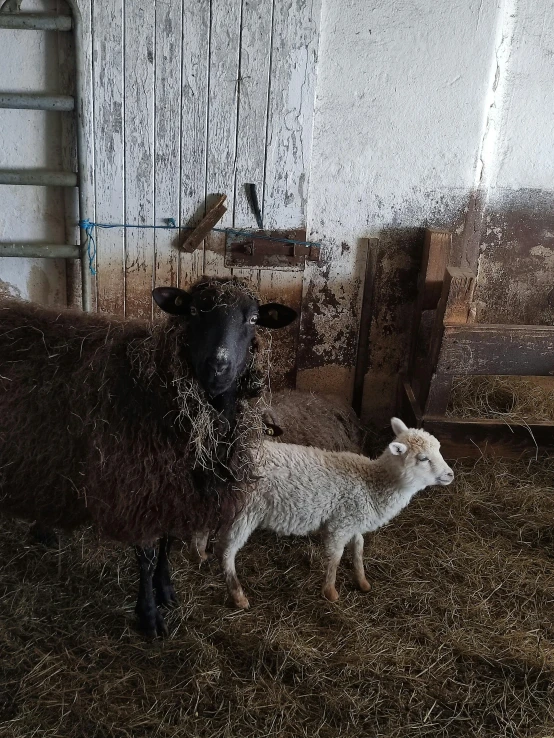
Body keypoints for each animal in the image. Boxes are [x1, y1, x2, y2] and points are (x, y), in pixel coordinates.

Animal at [0, 278, 296, 636]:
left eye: (253, 319)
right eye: (193, 310)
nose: (218, 366)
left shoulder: (172, 489)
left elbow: (167, 544)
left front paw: (166, 589)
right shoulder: (138, 487)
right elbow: (148, 555)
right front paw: (149, 615)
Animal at [209, 416, 450, 608]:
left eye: (439, 449)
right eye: (423, 458)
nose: (451, 474)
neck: (372, 483)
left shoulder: (352, 519)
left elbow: (359, 547)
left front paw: (362, 581)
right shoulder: (340, 524)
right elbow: (335, 556)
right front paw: (331, 592)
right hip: (244, 512)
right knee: (226, 551)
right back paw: (238, 596)